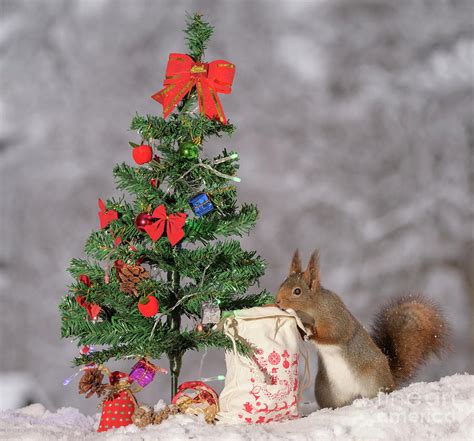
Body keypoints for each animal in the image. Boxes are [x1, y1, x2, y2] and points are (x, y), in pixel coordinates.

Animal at [274, 249, 448, 408]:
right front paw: (302, 330)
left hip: (373, 379)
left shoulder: (335, 318)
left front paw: (313, 336)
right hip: (325, 390)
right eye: (282, 283)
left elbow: (334, 335)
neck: (311, 308)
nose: (277, 301)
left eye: (297, 291)